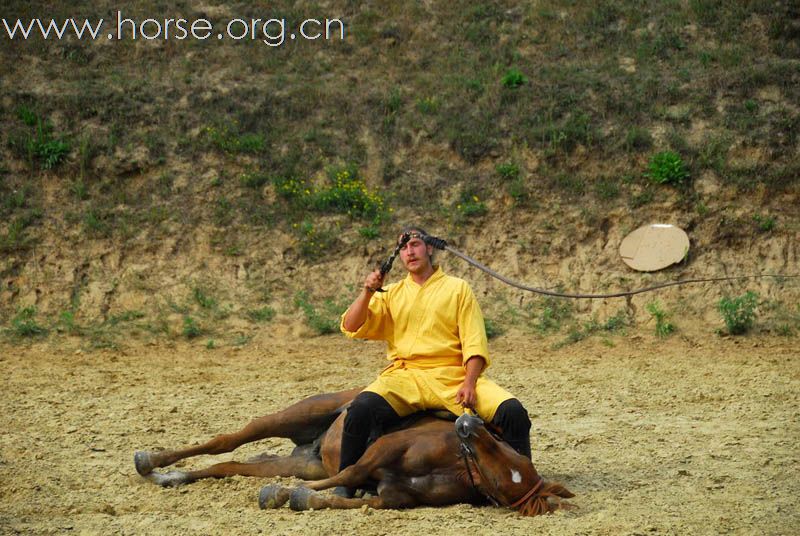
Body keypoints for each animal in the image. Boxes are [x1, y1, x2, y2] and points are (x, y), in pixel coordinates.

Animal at [138, 390, 576, 516]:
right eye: (500, 448)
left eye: (497, 459)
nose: (467, 424)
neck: (453, 464)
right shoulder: (383, 449)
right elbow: (348, 477)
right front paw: (280, 495)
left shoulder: (393, 498)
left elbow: (351, 499)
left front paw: (296, 497)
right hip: (295, 415)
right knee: (227, 441)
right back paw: (151, 462)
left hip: (304, 462)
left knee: (230, 464)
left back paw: (171, 477)